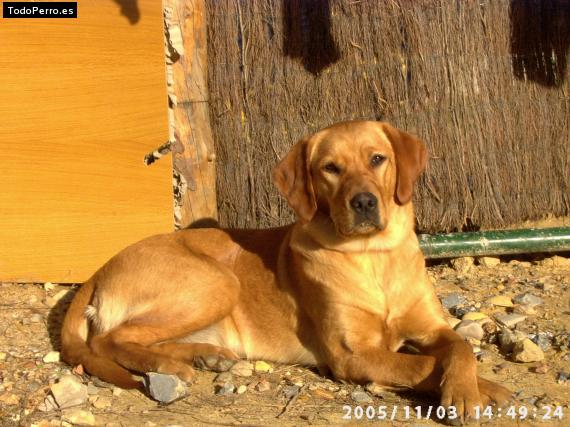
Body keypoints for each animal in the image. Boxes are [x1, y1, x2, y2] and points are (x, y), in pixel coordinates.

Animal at [61, 121, 506, 422]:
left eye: (377, 159)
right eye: (330, 168)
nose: (363, 202)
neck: (372, 256)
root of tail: (100, 269)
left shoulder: (433, 328)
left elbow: (460, 348)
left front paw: (472, 388)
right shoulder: (350, 354)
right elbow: (421, 365)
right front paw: (473, 392)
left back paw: (206, 356)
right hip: (216, 282)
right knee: (109, 339)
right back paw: (170, 366)